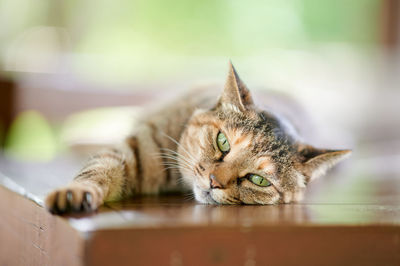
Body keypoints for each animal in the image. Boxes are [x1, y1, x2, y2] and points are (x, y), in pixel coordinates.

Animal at [44, 62, 350, 214]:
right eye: (223, 142)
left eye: (259, 180)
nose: (214, 182)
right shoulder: (132, 152)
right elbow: (96, 171)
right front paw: (75, 193)